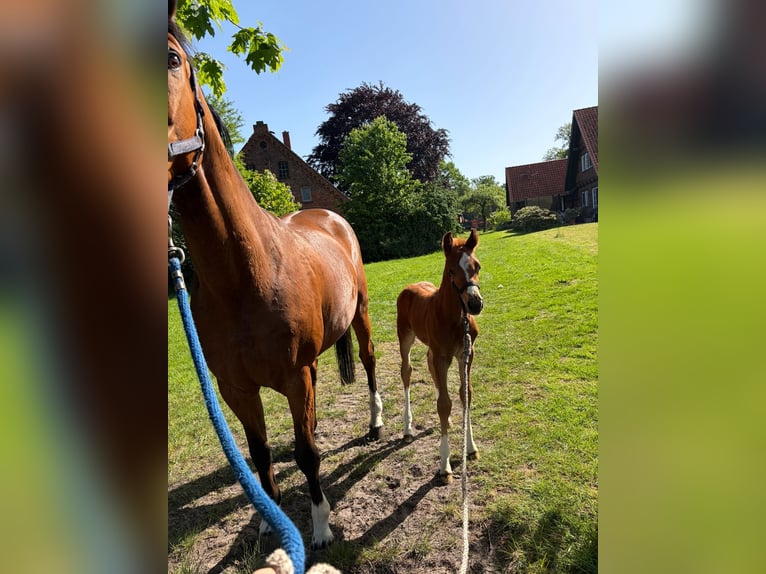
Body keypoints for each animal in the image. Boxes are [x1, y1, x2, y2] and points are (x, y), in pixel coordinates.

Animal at [167, 2, 383, 549]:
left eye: (172, 58)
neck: (244, 277)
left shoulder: (292, 375)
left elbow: (307, 455)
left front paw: (321, 526)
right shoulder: (235, 389)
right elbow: (261, 456)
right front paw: (270, 517)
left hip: (360, 316)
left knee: (369, 362)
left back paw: (376, 422)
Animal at [396, 229, 483, 484]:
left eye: (477, 266)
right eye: (451, 270)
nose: (475, 304)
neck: (454, 319)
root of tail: (411, 286)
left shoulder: (466, 353)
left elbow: (465, 394)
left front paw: (471, 447)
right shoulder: (442, 356)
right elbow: (443, 404)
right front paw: (445, 465)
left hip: (433, 350)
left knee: (429, 365)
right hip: (405, 337)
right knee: (406, 372)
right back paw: (407, 428)